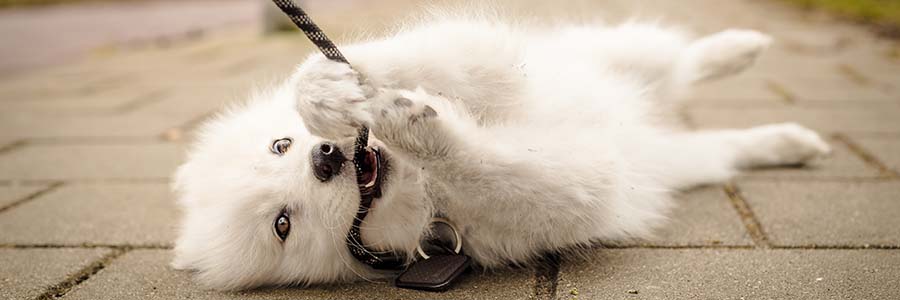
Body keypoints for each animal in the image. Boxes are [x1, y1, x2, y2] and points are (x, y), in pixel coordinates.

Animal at [169, 12, 828, 290]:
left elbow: (438, 61)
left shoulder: (490, 62)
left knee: (679, 60)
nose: (325, 158)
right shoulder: (569, 193)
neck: (416, 186)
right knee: (721, 137)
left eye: (281, 144)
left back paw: (741, 46)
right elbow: (495, 168)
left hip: (618, 55)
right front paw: (418, 127)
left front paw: (332, 91)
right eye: (283, 223)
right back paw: (791, 140)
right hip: (685, 160)